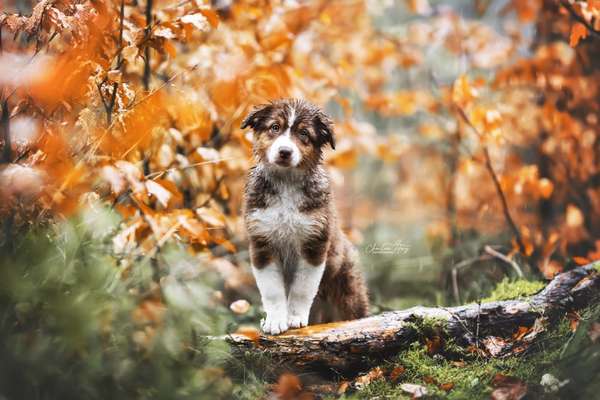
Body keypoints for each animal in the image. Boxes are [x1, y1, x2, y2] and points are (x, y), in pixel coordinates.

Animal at [241, 97, 368, 334]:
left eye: (304, 134)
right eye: (275, 127)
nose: (285, 152)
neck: (286, 183)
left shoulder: (314, 243)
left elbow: (302, 288)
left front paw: (294, 318)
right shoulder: (262, 242)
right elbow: (272, 291)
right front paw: (275, 321)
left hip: (347, 291)